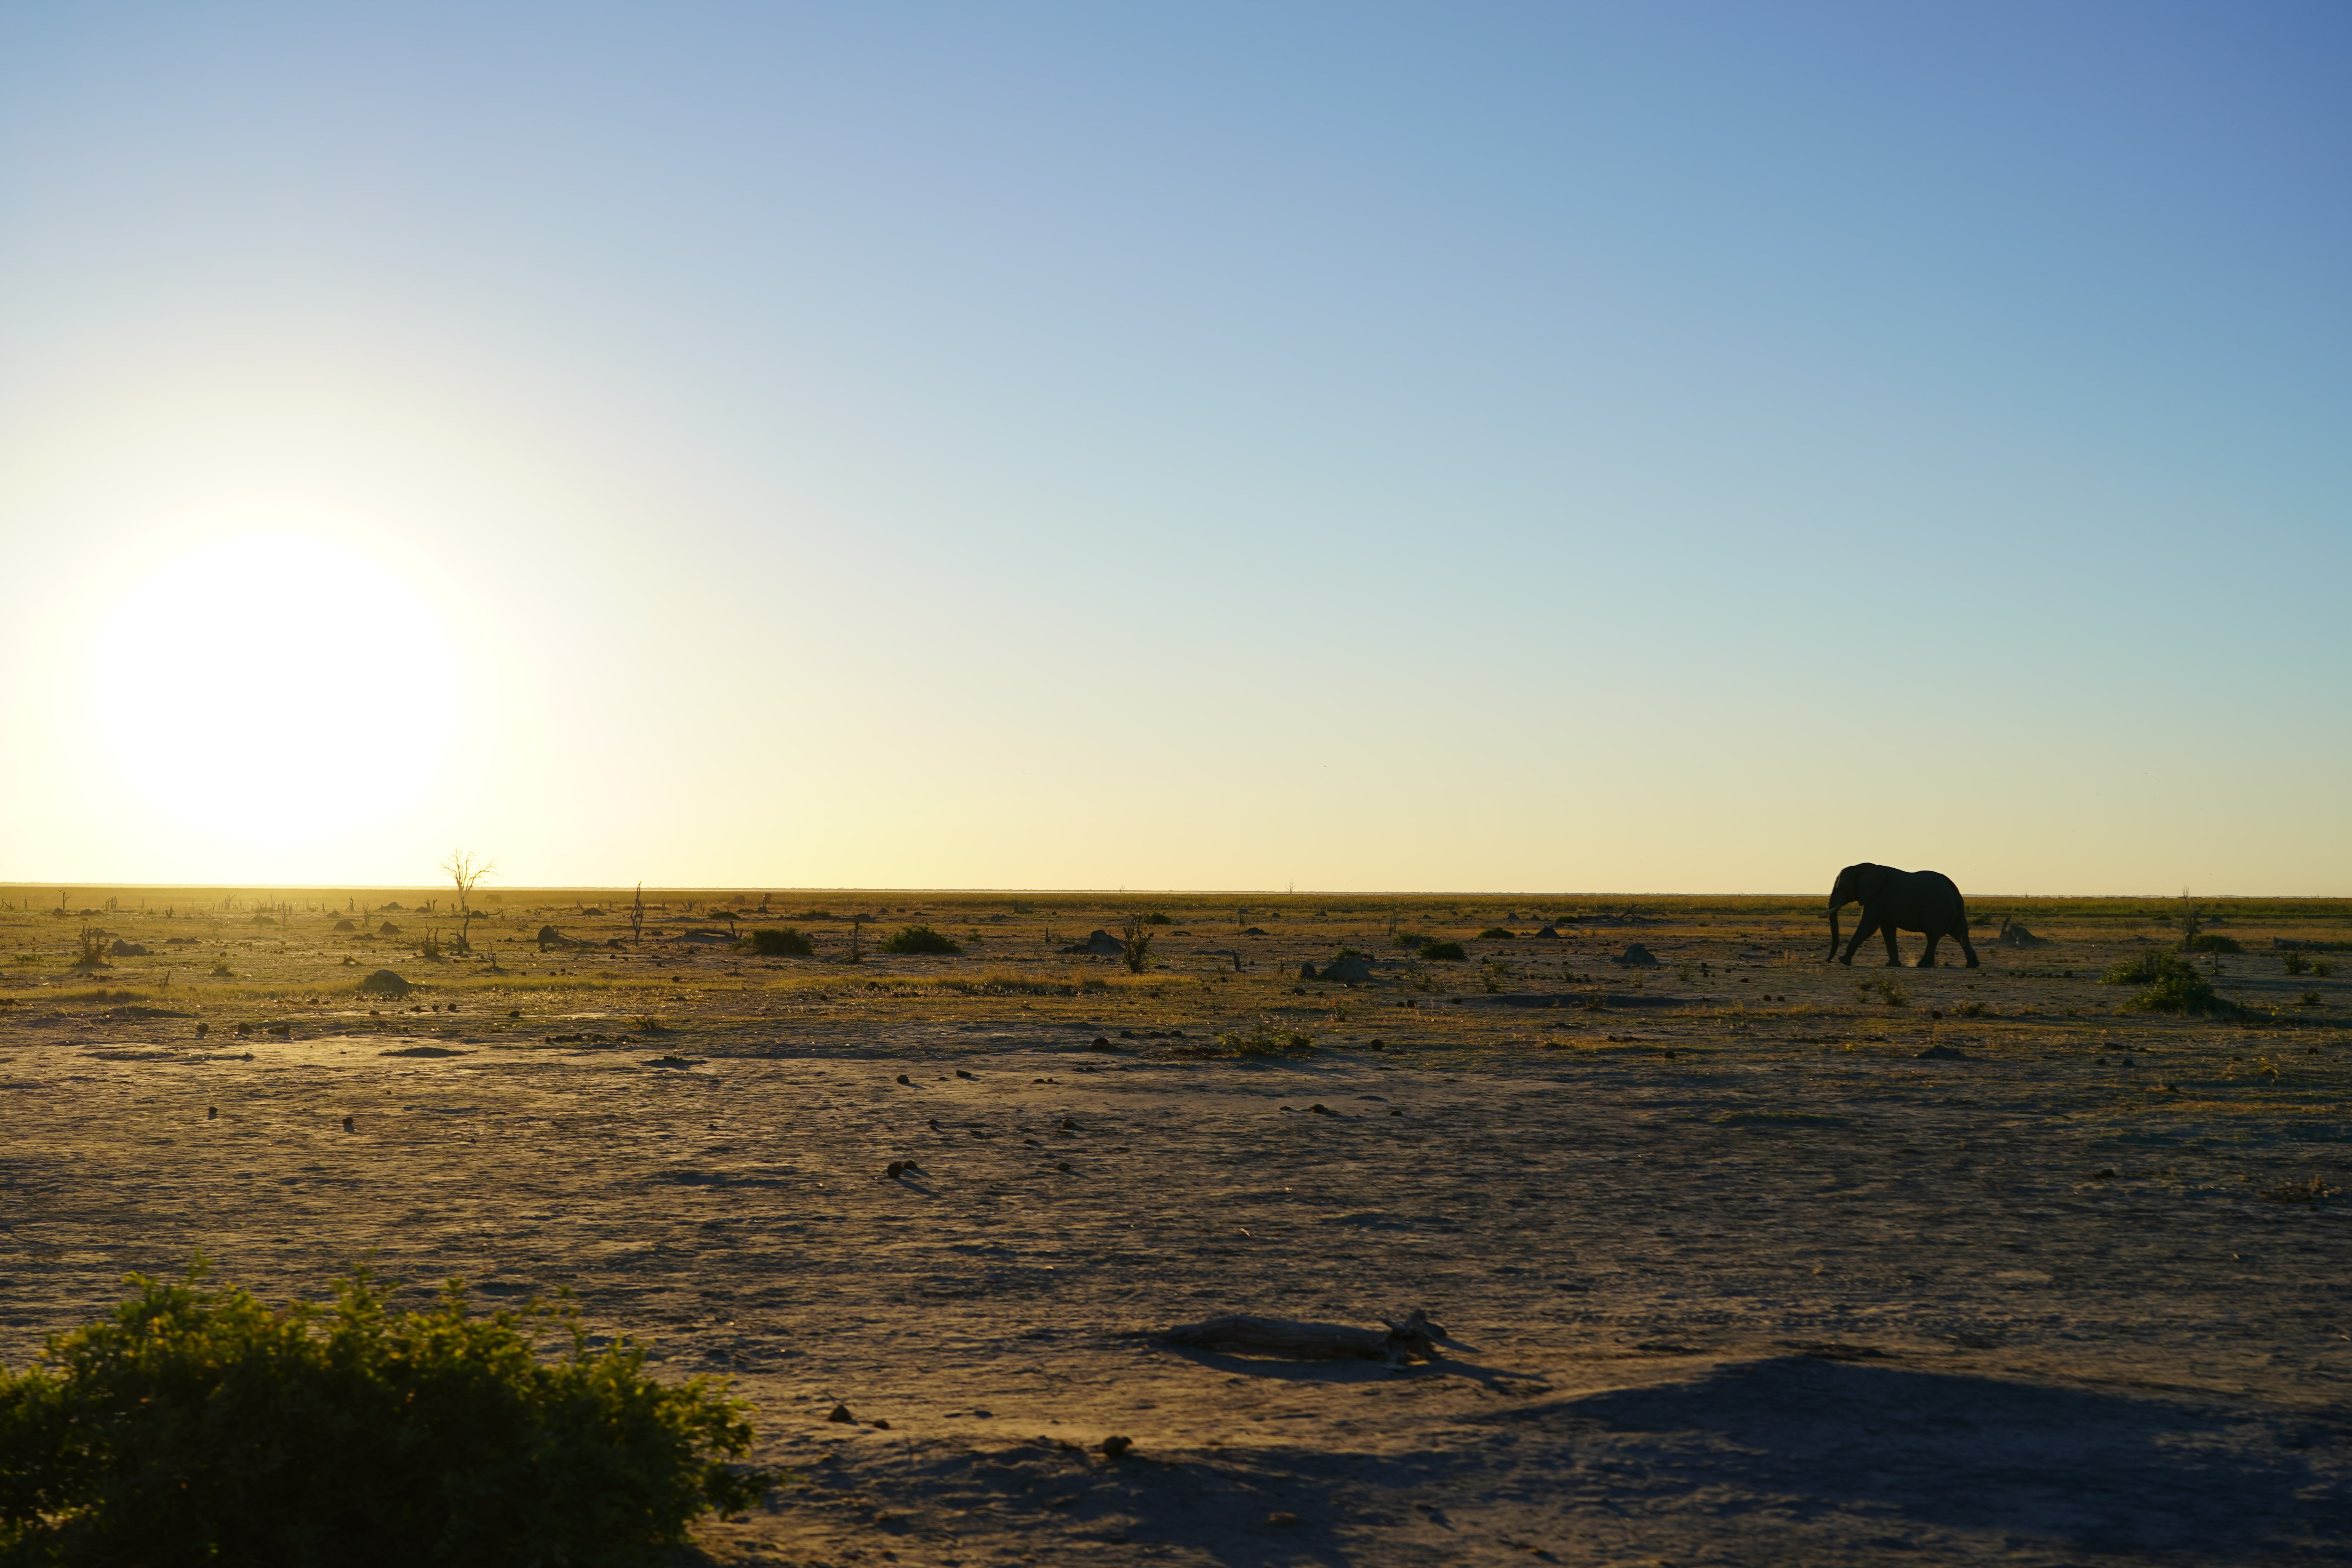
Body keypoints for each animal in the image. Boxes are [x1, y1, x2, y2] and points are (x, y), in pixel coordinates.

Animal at [1825, 862, 1978, 968]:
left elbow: (1869, 927)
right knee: (1961, 934)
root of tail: (1956, 894)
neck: (1861, 867)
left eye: (1843, 888)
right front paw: (1892, 965)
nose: (1827, 961)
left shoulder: (1877, 899)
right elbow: (1887, 930)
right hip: (1954, 911)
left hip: (1937, 908)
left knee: (1933, 936)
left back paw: (1923, 965)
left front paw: (1843, 961)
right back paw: (1973, 965)